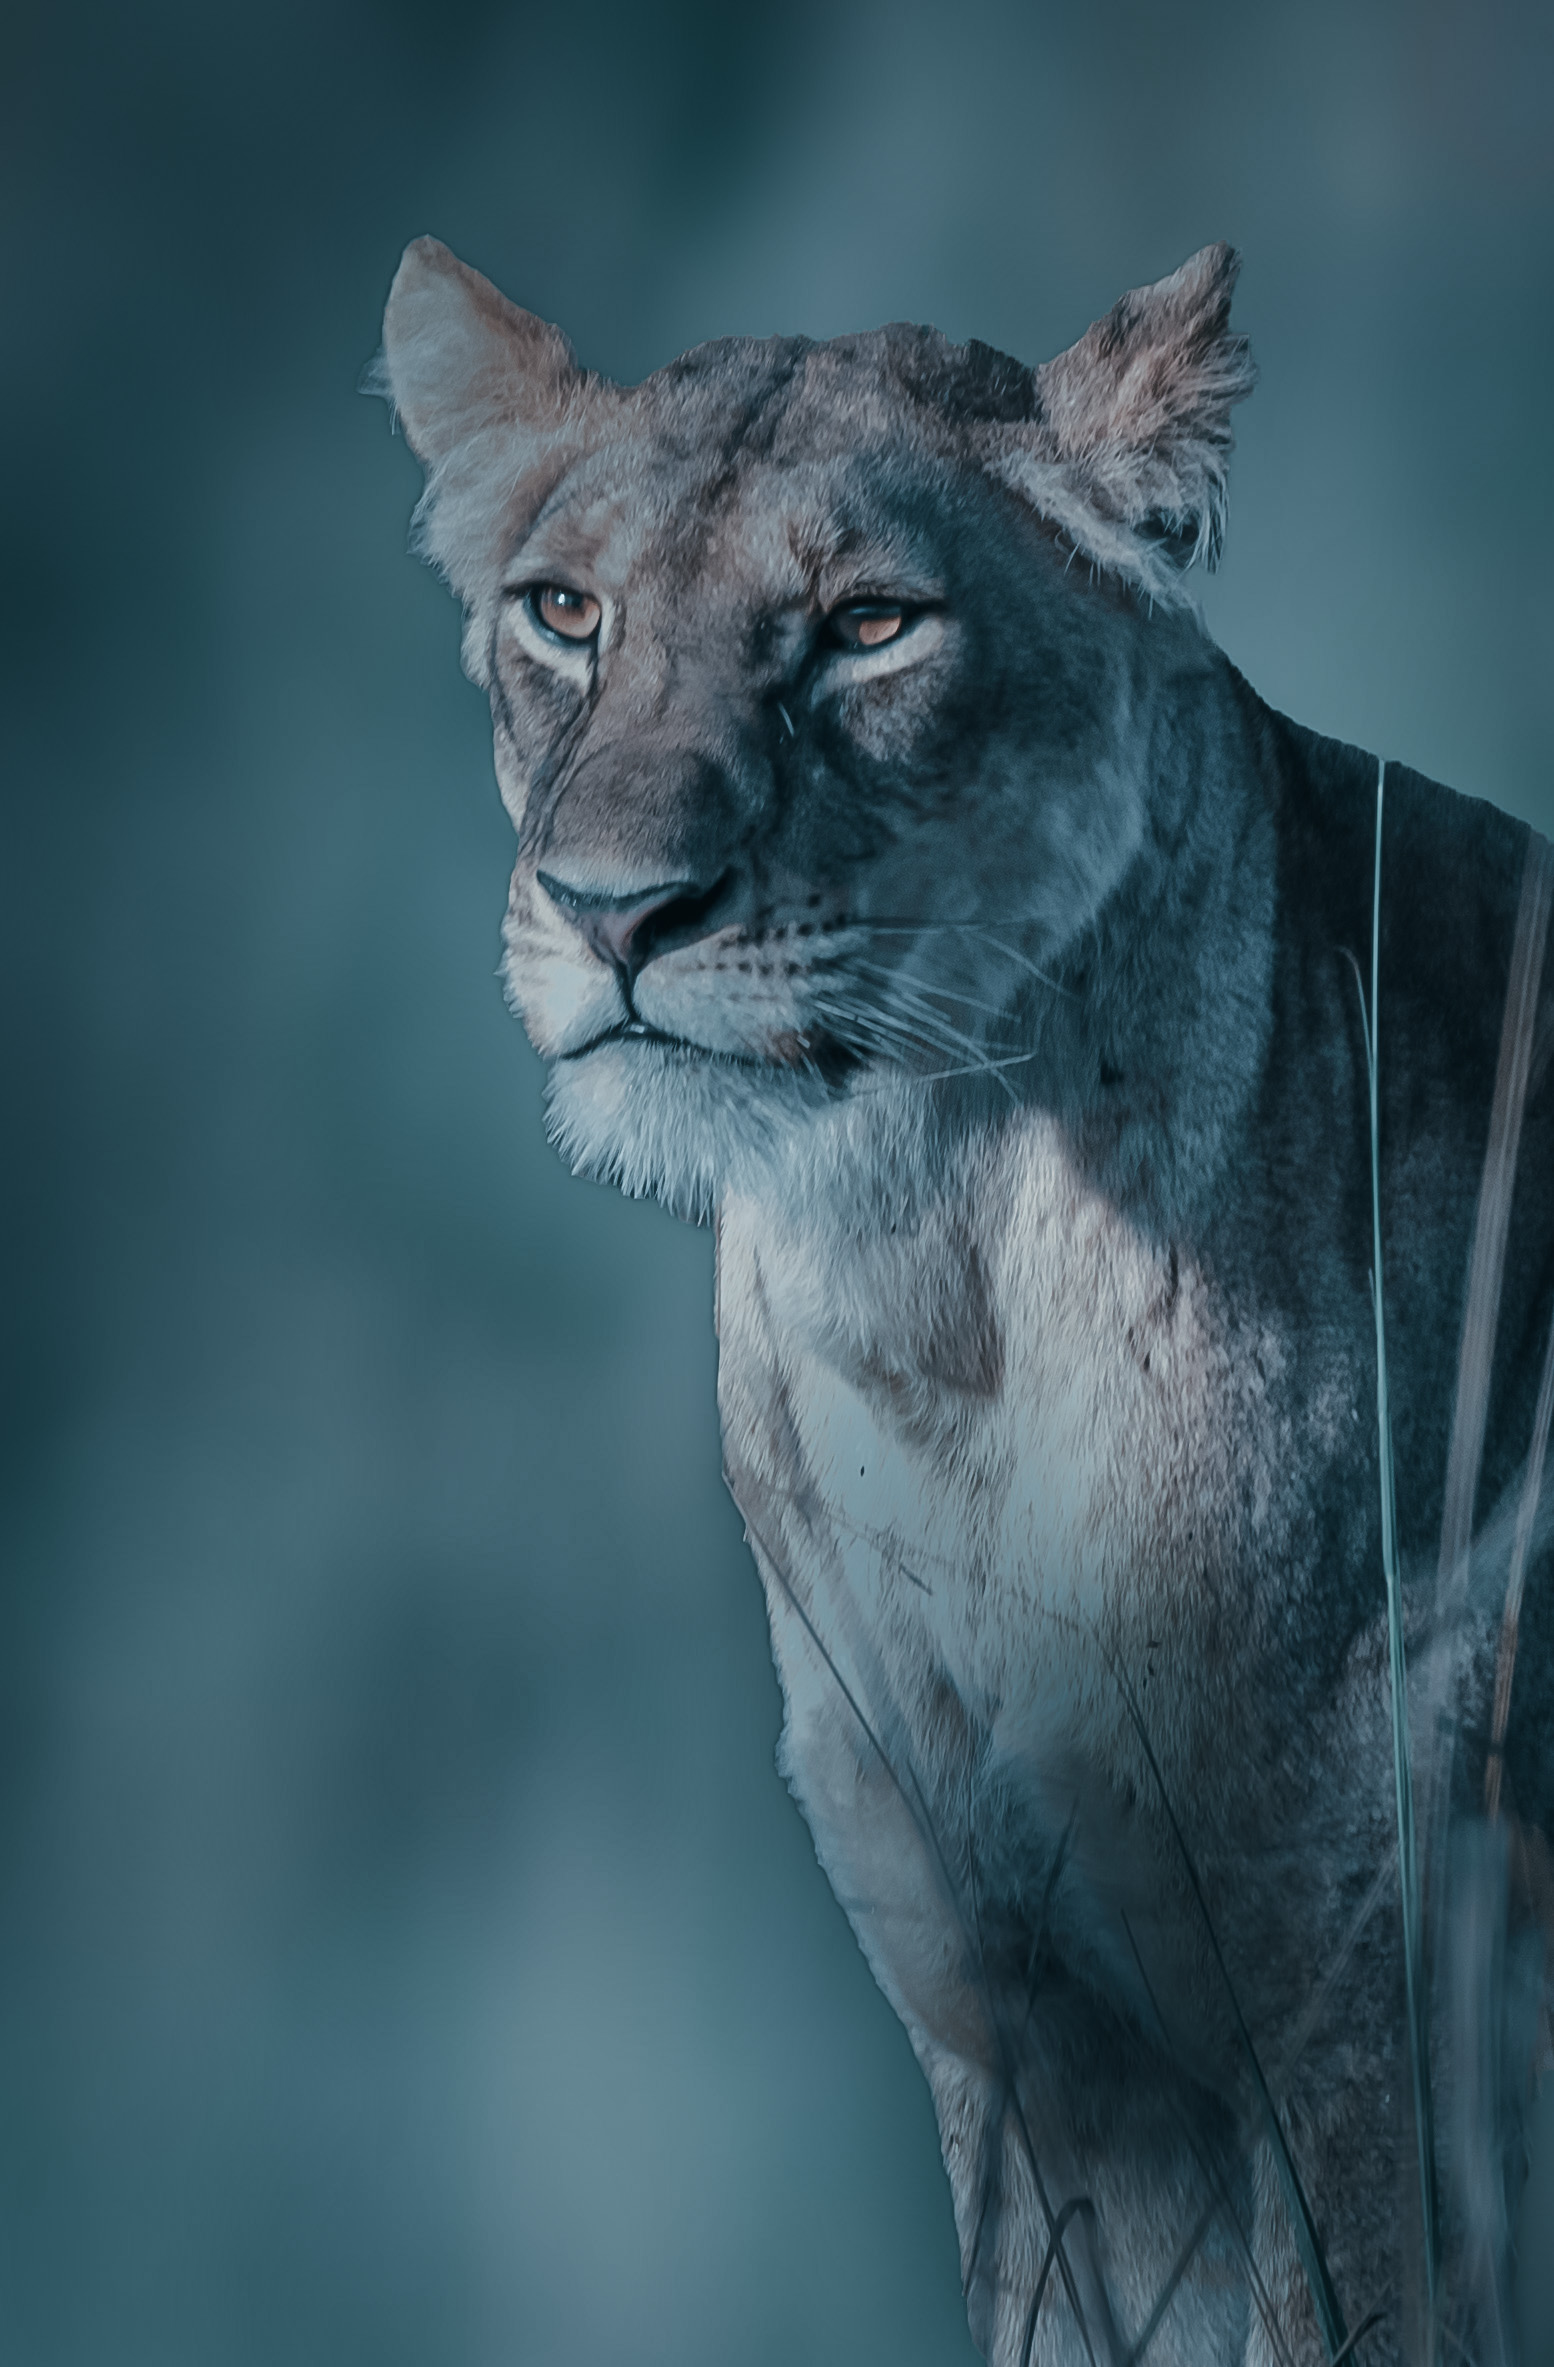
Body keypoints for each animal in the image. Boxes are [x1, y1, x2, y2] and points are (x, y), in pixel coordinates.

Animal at [376, 236, 1554, 2365]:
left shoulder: (1368, 2012)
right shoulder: (1026, 2048)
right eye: (563, 611)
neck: (929, 1283)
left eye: (866, 627)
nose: (611, 908)